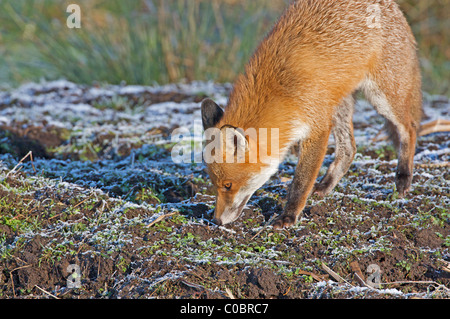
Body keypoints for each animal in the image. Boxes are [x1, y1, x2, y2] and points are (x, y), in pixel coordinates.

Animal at [200, 0, 422, 230]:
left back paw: (403, 178)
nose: (216, 220)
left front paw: (288, 216)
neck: (282, 89)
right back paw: (325, 186)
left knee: (410, 128)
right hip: (338, 104)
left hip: (382, 97)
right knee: (349, 149)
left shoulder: (317, 126)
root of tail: (393, 6)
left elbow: (300, 181)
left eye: (228, 185)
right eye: (215, 185)